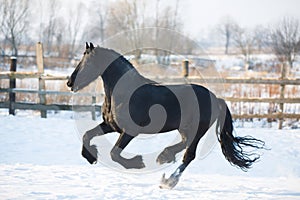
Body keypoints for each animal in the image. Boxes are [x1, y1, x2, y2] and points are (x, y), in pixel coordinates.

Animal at [67, 42, 264, 189]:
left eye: (87, 62)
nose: (70, 82)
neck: (122, 93)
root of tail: (216, 99)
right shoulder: (111, 126)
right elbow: (87, 135)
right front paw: (90, 156)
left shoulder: (129, 131)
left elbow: (114, 153)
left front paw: (138, 163)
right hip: (185, 129)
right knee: (184, 146)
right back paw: (165, 158)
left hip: (197, 130)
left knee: (188, 155)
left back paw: (168, 180)